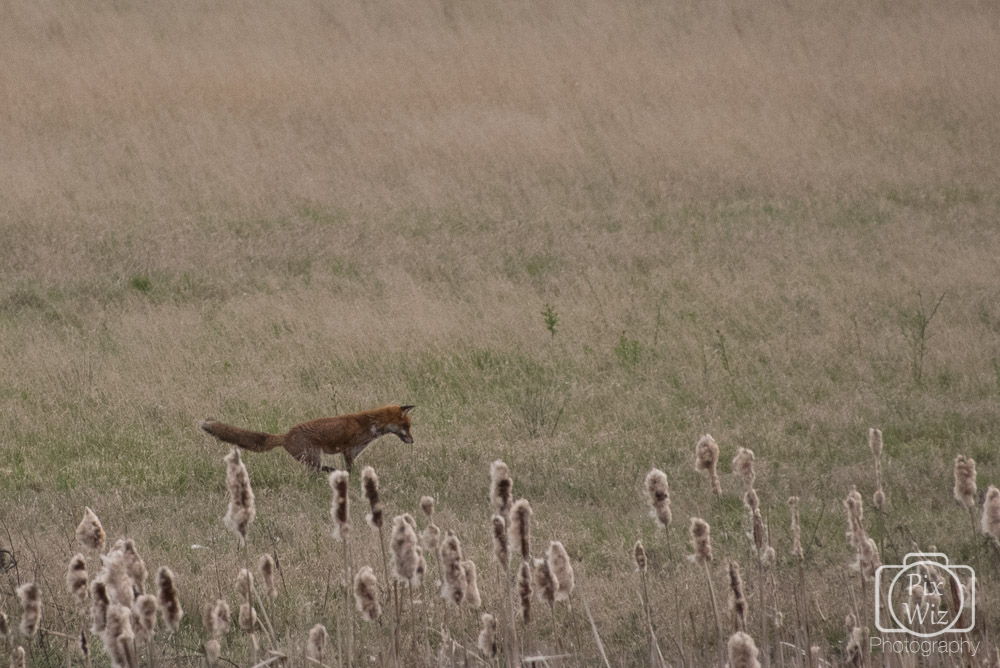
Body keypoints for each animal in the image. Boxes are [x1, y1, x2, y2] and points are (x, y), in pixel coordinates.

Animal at [200, 405, 415, 473]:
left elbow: (350, 468)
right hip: (314, 456)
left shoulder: (353, 451)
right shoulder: (347, 448)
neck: (369, 424)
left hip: (312, 459)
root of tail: (286, 435)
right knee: (320, 469)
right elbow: (349, 469)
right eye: (406, 426)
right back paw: (331, 472)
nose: (413, 441)